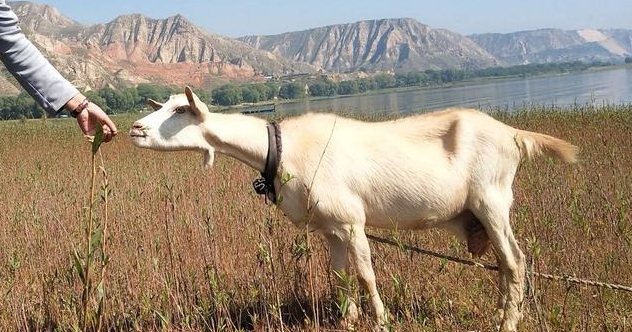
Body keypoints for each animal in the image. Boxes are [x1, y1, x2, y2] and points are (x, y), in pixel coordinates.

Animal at [128, 87, 576, 330]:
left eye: (180, 110)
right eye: (161, 105)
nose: (135, 129)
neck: (279, 148)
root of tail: (514, 134)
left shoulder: (351, 221)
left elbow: (365, 274)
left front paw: (381, 321)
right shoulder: (330, 228)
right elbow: (341, 277)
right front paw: (346, 320)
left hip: (492, 199)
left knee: (515, 261)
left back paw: (508, 322)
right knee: (504, 263)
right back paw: (503, 314)